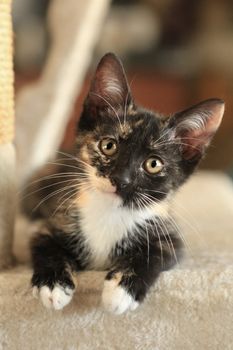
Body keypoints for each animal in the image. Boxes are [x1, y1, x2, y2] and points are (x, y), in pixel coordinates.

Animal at [22, 52, 225, 314]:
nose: (121, 179)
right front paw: (52, 285)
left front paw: (120, 292)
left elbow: (153, 255)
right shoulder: (53, 220)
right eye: (108, 146)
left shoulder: (169, 238)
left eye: (153, 164)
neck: (109, 211)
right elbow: (45, 245)